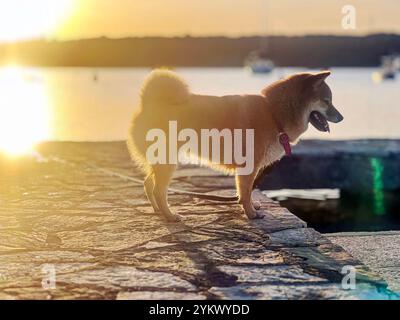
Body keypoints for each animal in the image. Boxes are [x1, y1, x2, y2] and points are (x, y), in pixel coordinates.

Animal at [129, 69, 344, 221]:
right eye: (327, 101)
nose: (341, 118)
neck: (273, 114)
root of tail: (147, 103)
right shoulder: (249, 166)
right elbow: (246, 192)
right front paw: (251, 214)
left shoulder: (251, 168)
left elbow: (246, 192)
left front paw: (252, 207)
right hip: (167, 162)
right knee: (158, 190)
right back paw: (170, 215)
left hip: (161, 162)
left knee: (148, 184)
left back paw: (157, 210)